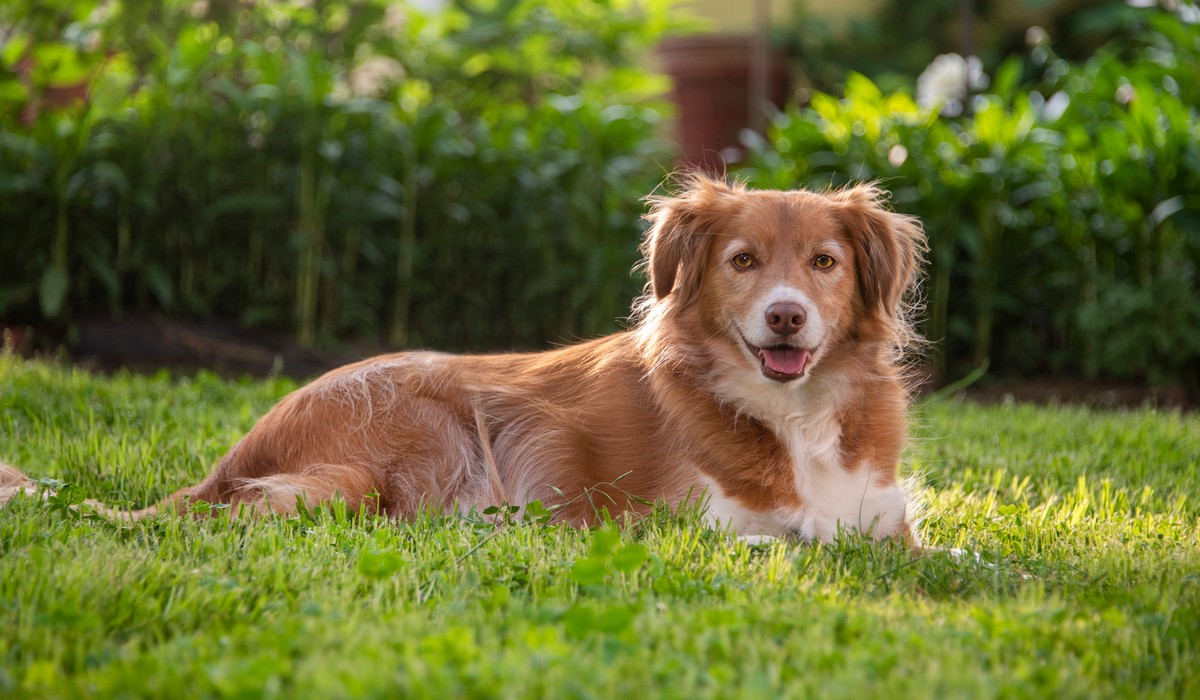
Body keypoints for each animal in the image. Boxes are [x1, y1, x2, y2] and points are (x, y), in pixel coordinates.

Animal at [0, 174, 926, 542]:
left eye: (824, 263)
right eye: (742, 261)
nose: (785, 317)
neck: (791, 415)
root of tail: (237, 455)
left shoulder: (885, 512)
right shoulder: (694, 519)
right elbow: (794, 534)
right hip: (431, 417)